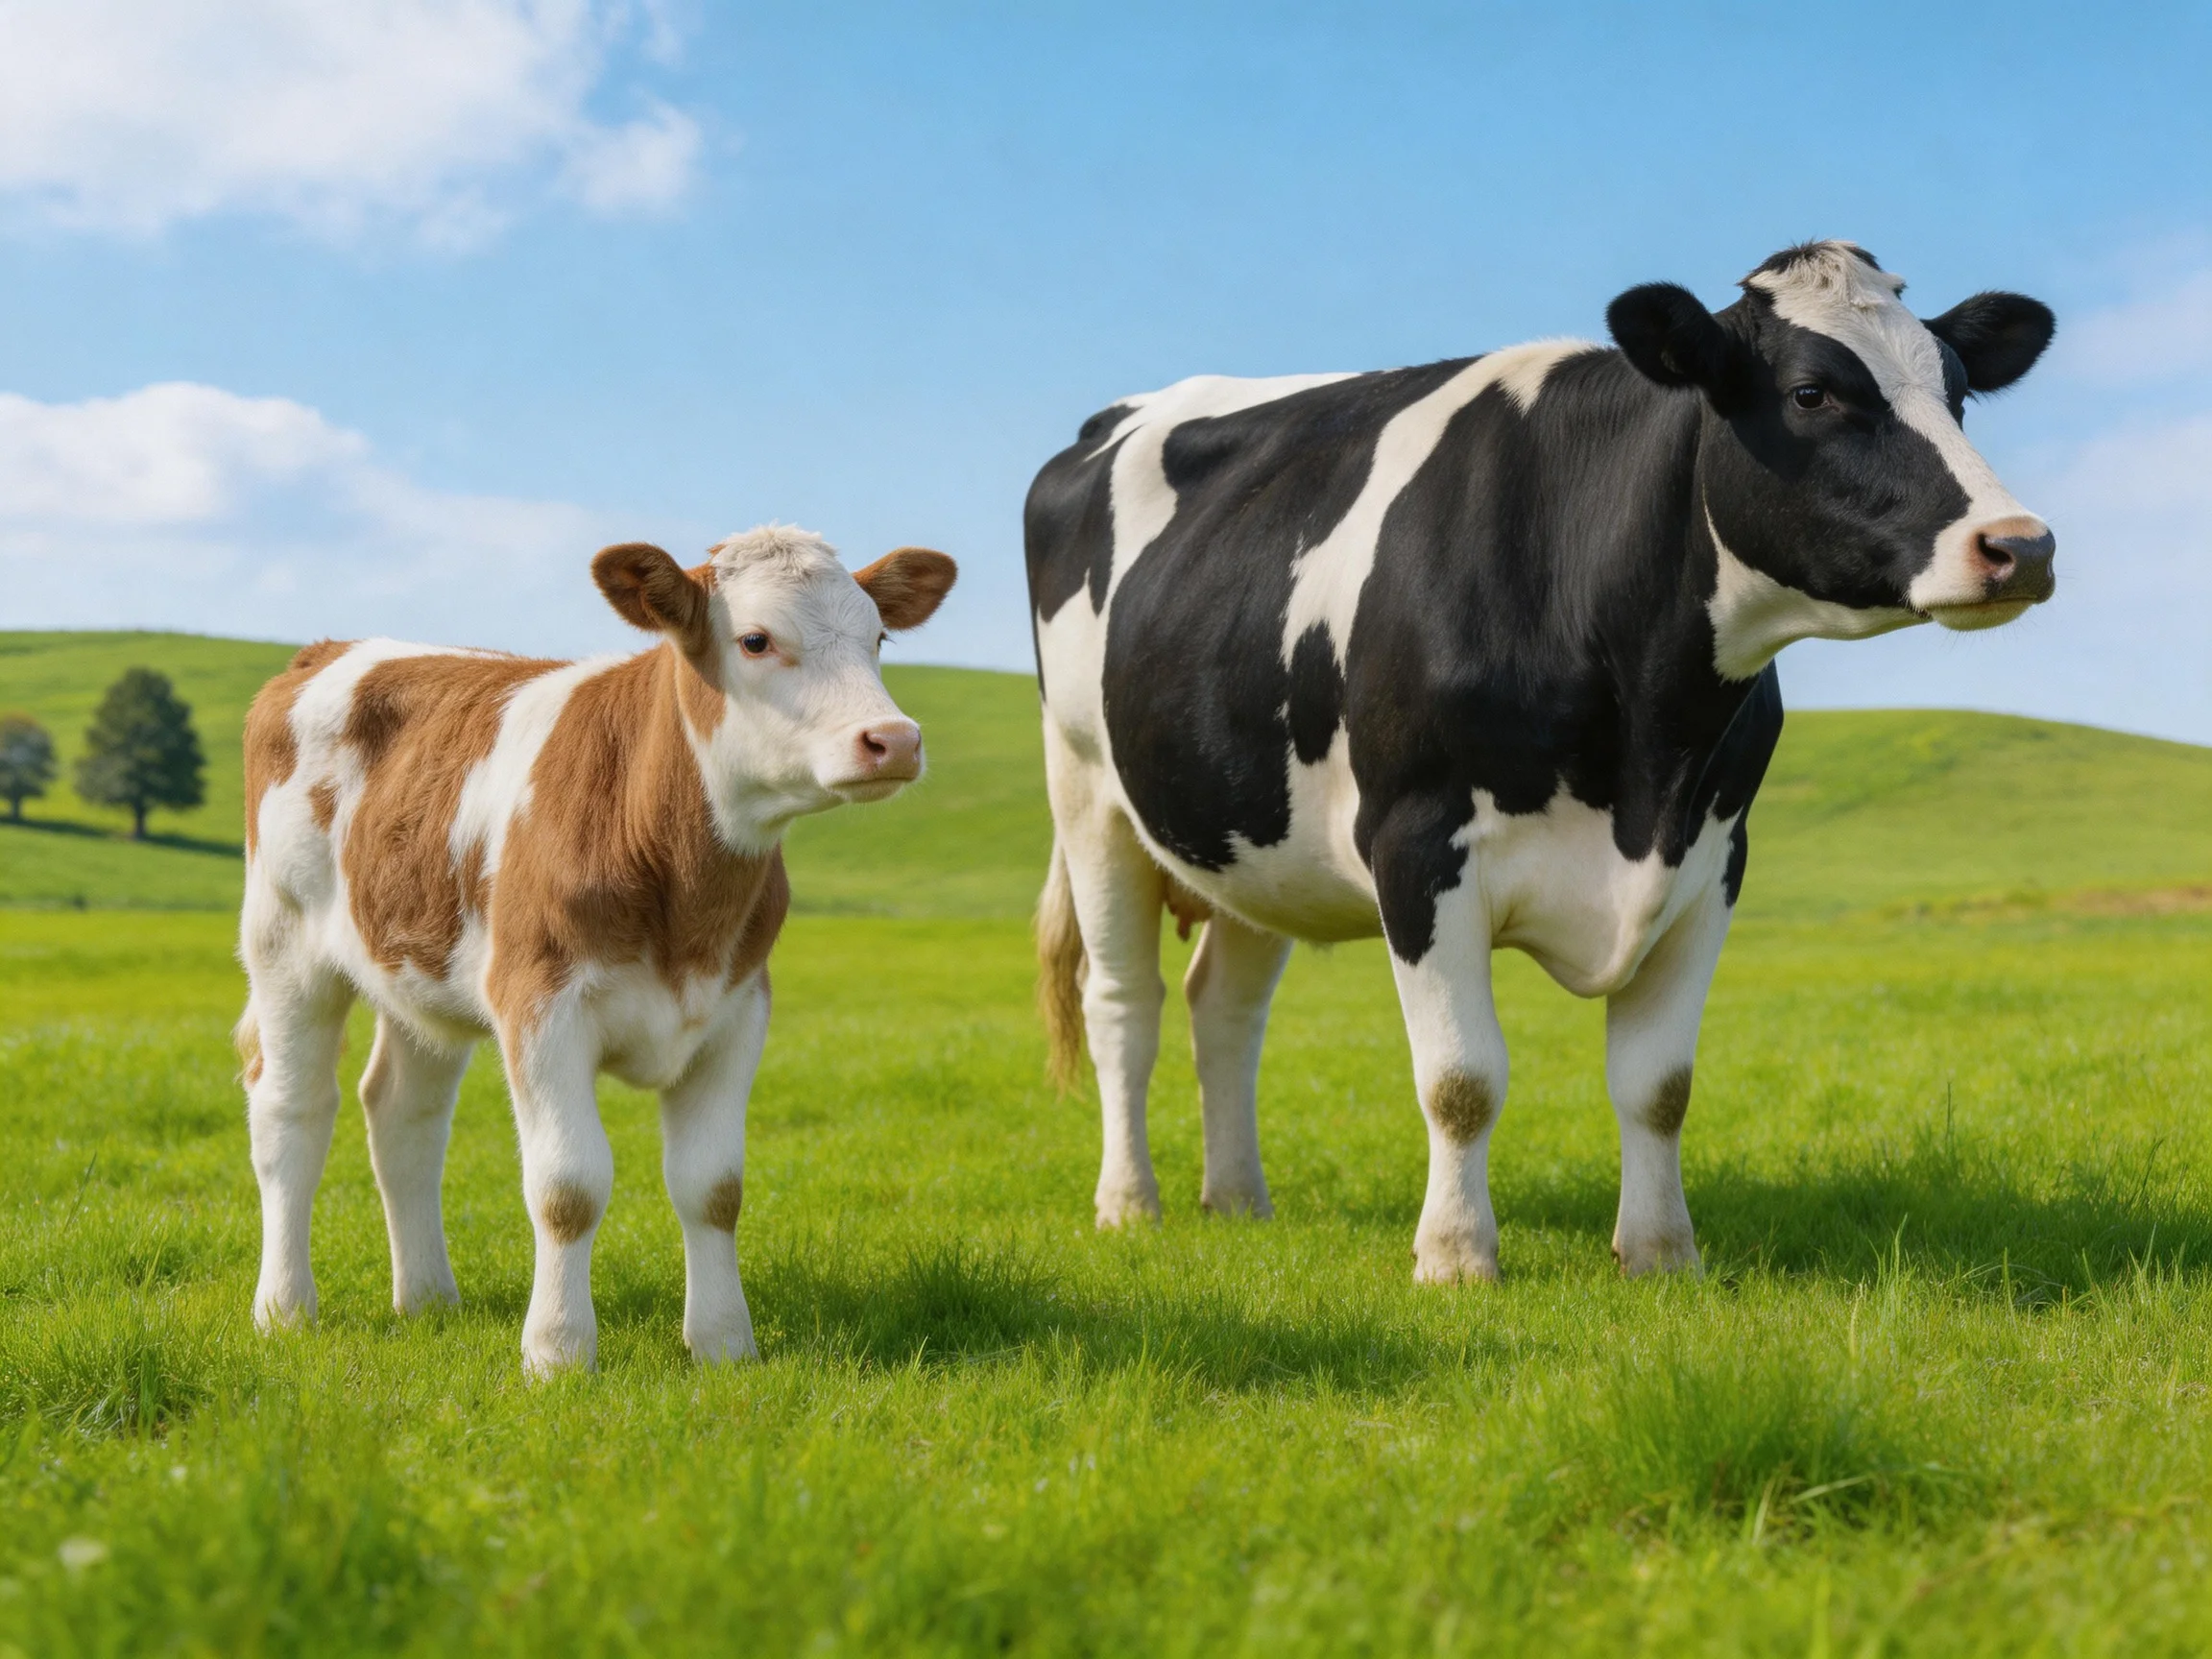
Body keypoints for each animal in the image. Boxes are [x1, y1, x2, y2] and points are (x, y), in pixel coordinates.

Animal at [236, 526, 956, 1373]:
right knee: (293, 1112)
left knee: (404, 1114)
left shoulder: (738, 1010)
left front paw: (723, 1343)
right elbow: (568, 1187)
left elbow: (714, 1187)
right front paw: (558, 1352)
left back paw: (429, 1299)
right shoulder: (541, 1004)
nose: (894, 740)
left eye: (878, 637)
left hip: (419, 967)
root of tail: (328, 649)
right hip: (284, 943)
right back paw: (284, 1310)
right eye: (755, 639)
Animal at [1025, 241, 2055, 1282]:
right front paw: (1454, 1257)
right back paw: (1130, 1204)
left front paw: (1660, 1252)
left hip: (1255, 838)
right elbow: (1461, 1080)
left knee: (1224, 1010)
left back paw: (1238, 1201)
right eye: (1812, 393)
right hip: (1088, 794)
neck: (1644, 764)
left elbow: (1659, 1084)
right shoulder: (1418, 846)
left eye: (1957, 392)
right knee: (1124, 1004)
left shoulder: (1714, 859)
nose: (2022, 545)